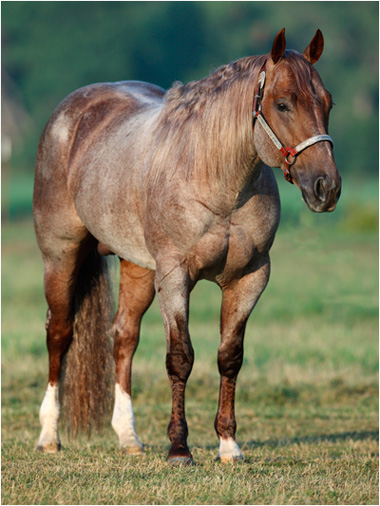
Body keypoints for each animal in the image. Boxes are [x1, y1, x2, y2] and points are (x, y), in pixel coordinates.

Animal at [32, 26, 342, 462]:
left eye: (327, 102)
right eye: (282, 104)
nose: (326, 187)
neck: (216, 177)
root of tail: (73, 111)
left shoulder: (249, 279)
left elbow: (230, 357)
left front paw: (229, 445)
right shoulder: (176, 276)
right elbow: (180, 358)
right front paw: (179, 447)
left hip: (138, 267)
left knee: (123, 336)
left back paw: (128, 436)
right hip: (60, 256)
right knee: (59, 333)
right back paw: (49, 434)